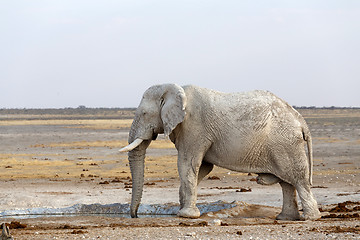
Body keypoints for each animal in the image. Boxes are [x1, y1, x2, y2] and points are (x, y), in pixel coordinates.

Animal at [120, 83, 320, 220]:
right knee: (287, 182)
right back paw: (286, 218)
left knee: (298, 179)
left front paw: (186, 215)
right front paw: (183, 207)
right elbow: (203, 167)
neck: (175, 89)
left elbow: (187, 164)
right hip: (284, 144)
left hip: (285, 143)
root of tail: (300, 120)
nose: (134, 215)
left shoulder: (193, 127)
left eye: (144, 114)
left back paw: (310, 218)